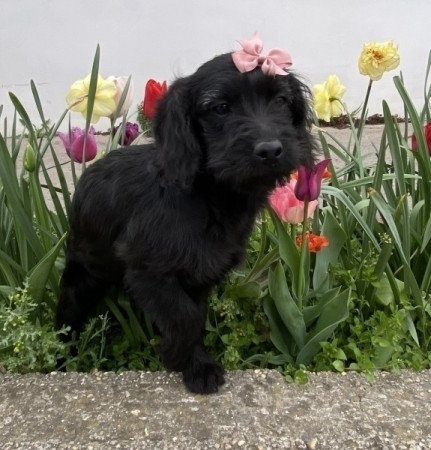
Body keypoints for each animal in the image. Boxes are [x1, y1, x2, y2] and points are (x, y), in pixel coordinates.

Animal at [55, 50, 316, 394]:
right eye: (220, 107)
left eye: (281, 100)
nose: (271, 150)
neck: (208, 195)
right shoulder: (148, 270)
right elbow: (185, 318)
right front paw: (185, 361)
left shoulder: (200, 273)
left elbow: (194, 315)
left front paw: (191, 360)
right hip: (83, 276)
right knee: (66, 318)